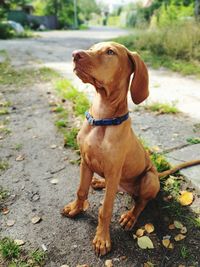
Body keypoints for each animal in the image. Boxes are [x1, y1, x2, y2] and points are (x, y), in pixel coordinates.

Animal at [61, 42, 199, 258]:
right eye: (92, 48)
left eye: (110, 52)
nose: (75, 55)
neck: (102, 120)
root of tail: (158, 174)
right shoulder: (85, 161)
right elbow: (81, 190)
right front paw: (76, 208)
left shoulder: (113, 170)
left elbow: (105, 210)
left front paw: (102, 239)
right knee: (116, 188)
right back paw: (99, 182)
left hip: (148, 179)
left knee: (141, 202)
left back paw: (130, 216)